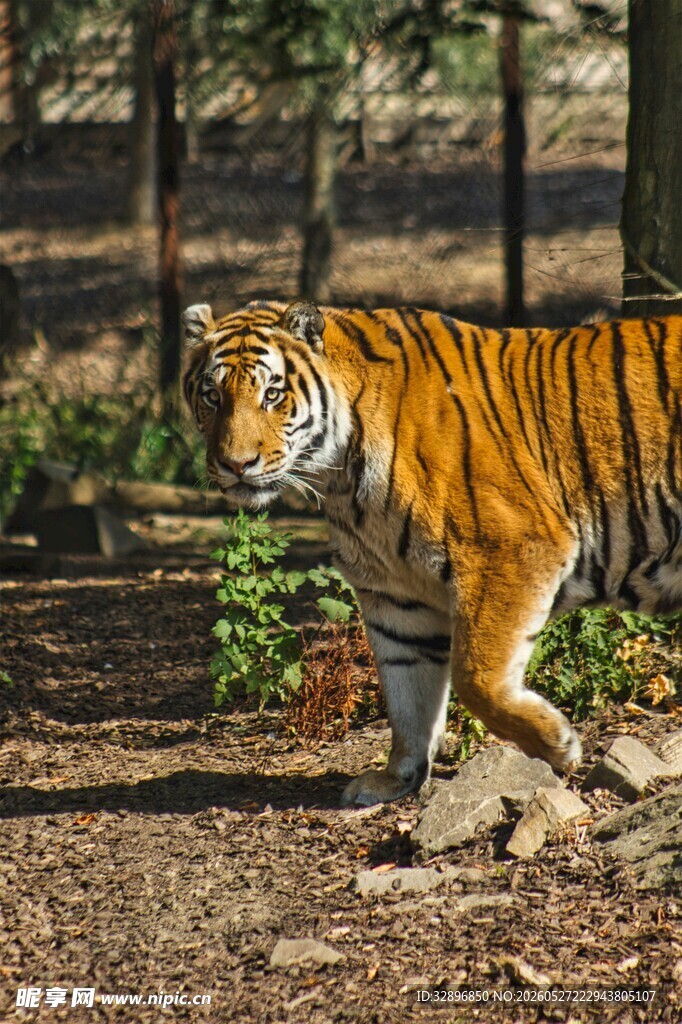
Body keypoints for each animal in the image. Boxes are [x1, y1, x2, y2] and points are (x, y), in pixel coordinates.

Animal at [183, 299, 682, 806]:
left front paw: (556, 745)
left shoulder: (511, 548)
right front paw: (397, 777)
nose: (236, 465)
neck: (341, 479)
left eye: (271, 395)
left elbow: (476, 678)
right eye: (213, 396)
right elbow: (407, 693)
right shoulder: (394, 594)